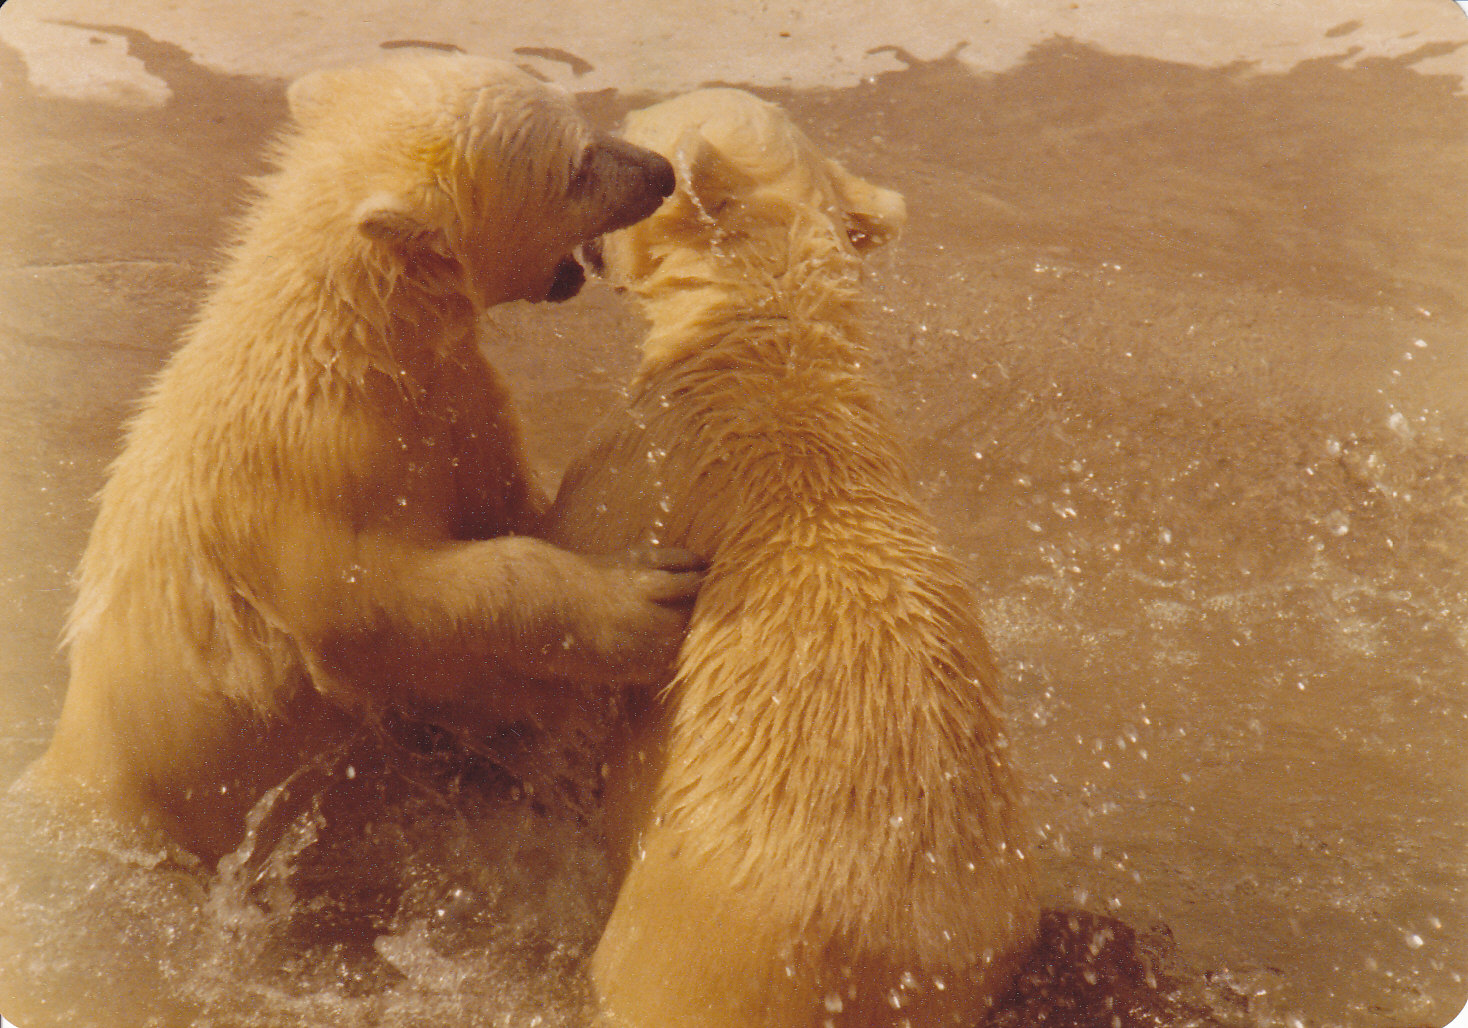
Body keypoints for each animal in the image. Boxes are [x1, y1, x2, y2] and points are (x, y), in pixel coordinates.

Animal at [22, 53, 701, 867]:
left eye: (584, 122)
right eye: (575, 166)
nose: (660, 171)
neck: (350, 342)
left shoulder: (454, 401)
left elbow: (506, 505)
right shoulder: (316, 463)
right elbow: (376, 605)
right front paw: (644, 599)